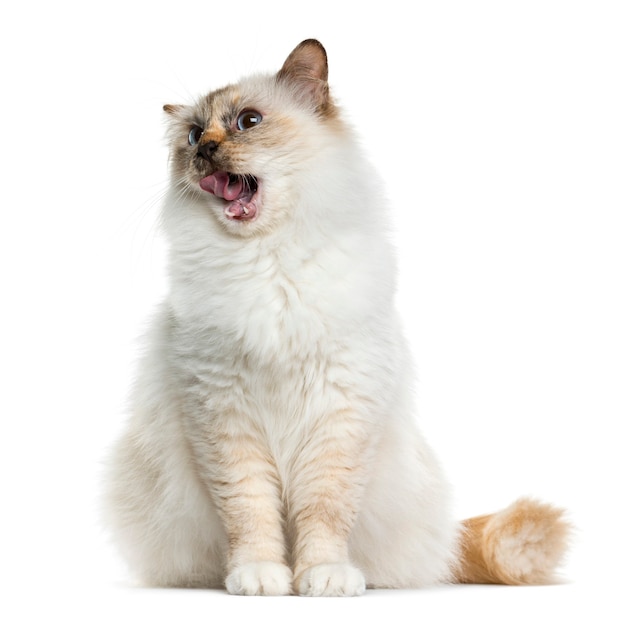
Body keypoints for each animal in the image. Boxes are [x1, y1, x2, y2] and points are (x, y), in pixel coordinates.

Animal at [103, 39, 572, 596]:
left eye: (247, 121)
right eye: (194, 135)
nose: (205, 152)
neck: (267, 261)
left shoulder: (339, 416)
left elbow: (323, 513)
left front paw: (321, 577)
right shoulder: (223, 415)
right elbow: (250, 513)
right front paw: (260, 576)